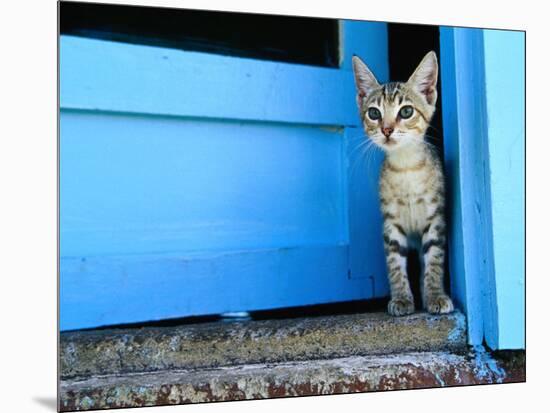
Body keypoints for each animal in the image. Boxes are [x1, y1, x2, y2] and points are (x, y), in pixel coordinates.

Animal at [354, 51, 458, 316]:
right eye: (374, 113)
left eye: (406, 111)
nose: (387, 129)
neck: (406, 168)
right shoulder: (391, 223)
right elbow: (394, 263)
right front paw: (401, 298)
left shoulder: (435, 219)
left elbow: (434, 260)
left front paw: (435, 295)